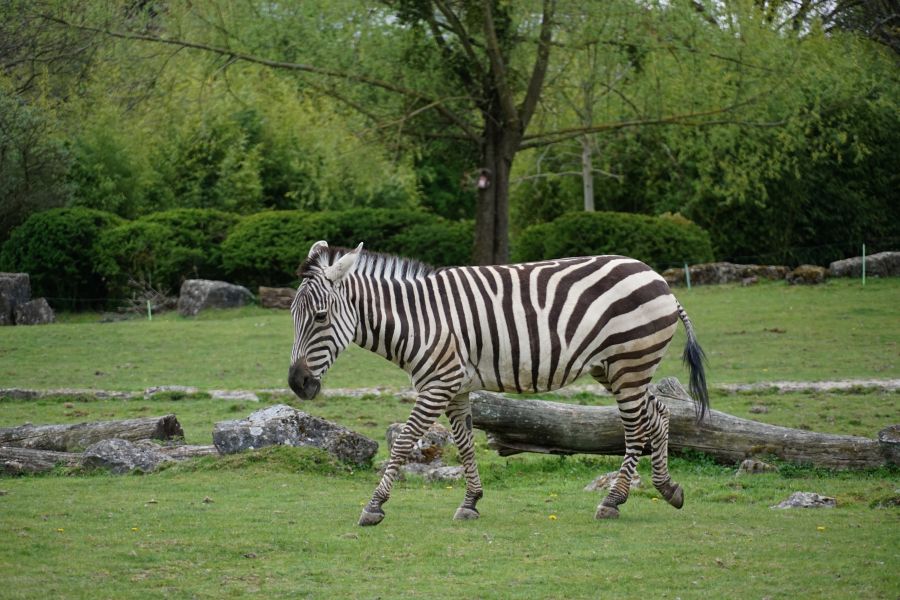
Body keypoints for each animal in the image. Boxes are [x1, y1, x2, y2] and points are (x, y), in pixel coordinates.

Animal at [288, 241, 708, 526]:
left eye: (321, 317)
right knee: (659, 414)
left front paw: (374, 506)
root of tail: (657, 277)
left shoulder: (437, 384)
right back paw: (667, 489)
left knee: (636, 427)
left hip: (629, 363)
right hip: (615, 368)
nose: (297, 384)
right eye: (292, 316)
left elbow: (405, 442)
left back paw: (612, 500)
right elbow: (464, 443)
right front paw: (470, 502)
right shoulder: (456, 386)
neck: (421, 320)